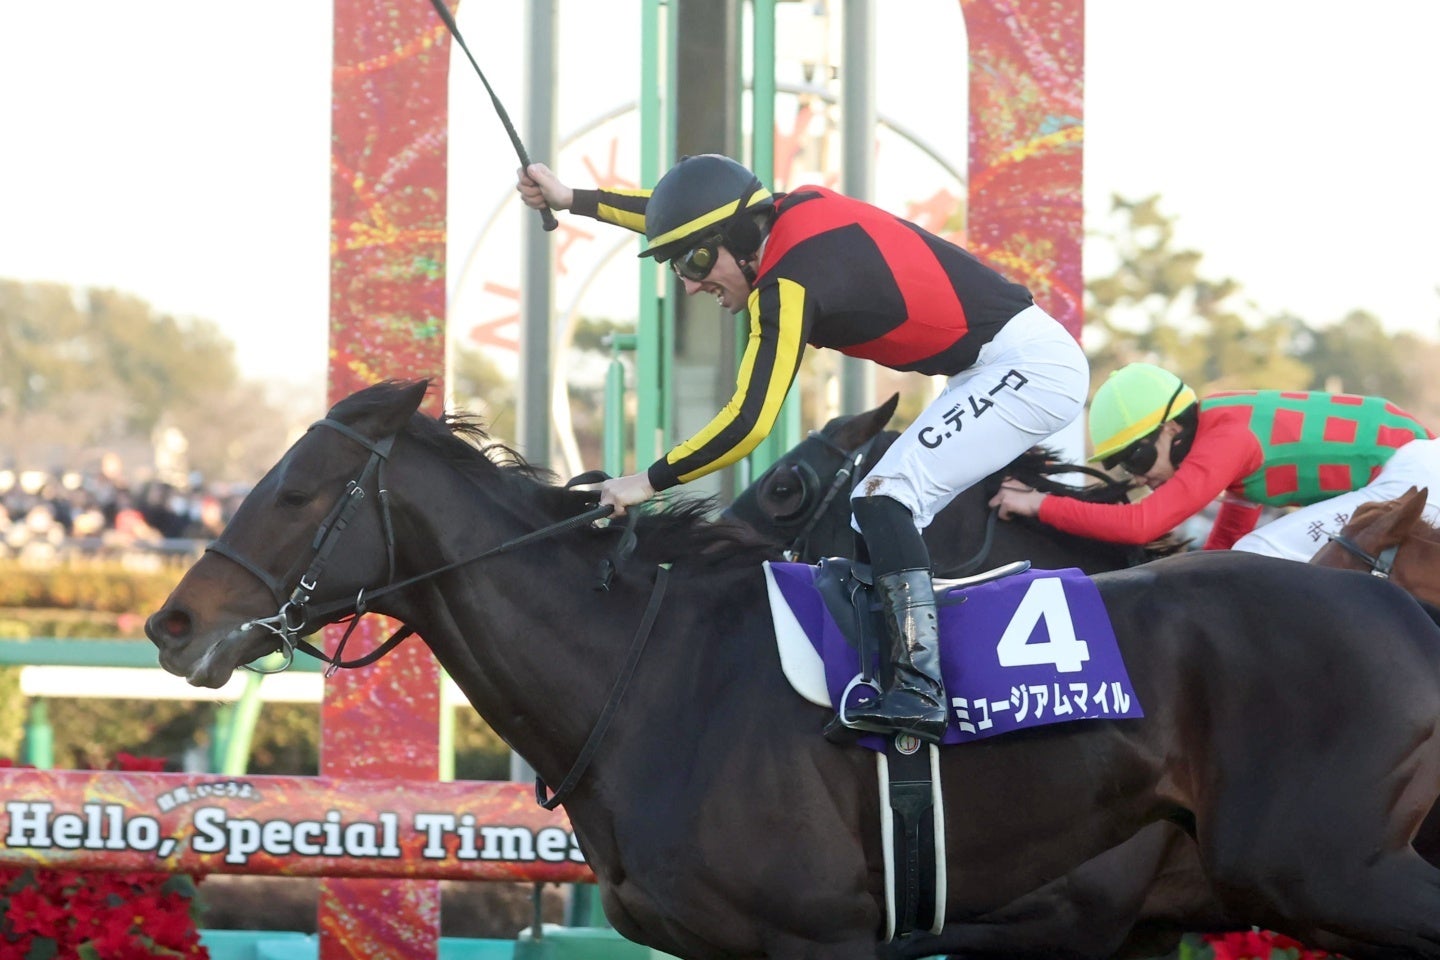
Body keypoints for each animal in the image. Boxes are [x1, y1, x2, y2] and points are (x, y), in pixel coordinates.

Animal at [146, 381, 1440, 960]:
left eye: (297, 491)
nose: (172, 622)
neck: (649, 677)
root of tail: (1401, 608)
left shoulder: (834, 937)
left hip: (1324, 868)